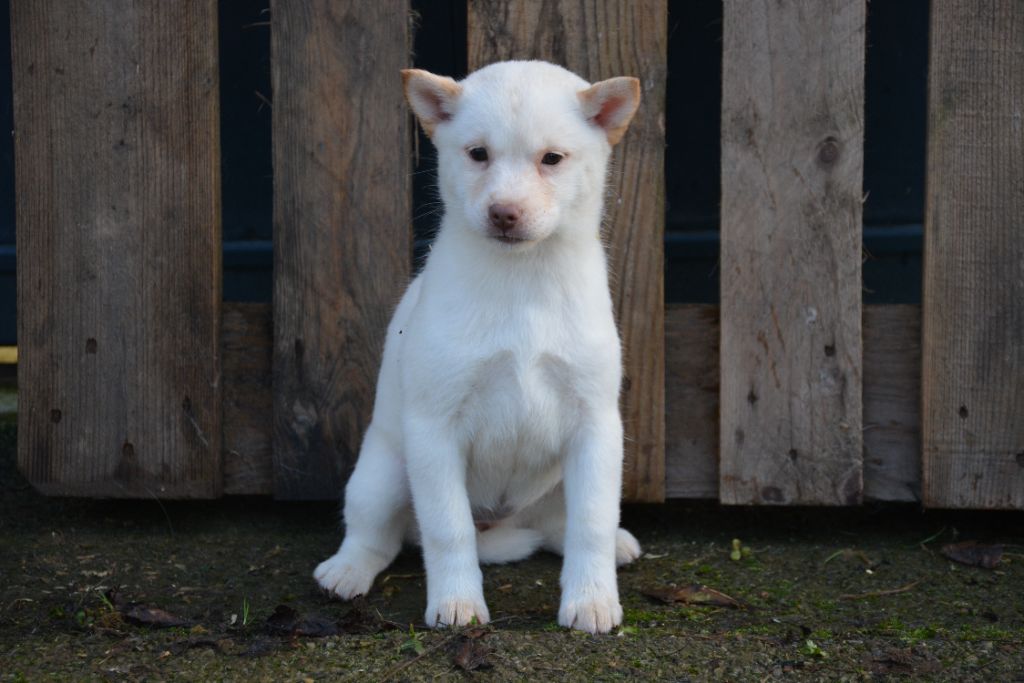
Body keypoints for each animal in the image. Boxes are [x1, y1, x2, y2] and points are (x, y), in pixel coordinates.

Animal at [315, 58, 643, 634]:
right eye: (477, 154)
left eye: (551, 158)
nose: (504, 213)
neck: (522, 281)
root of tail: (501, 523)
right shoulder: (435, 429)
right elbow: (449, 530)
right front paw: (457, 604)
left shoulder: (595, 425)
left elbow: (592, 524)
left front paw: (591, 600)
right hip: (383, 474)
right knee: (378, 537)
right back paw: (347, 571)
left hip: (561, 483)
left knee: (560, 526)